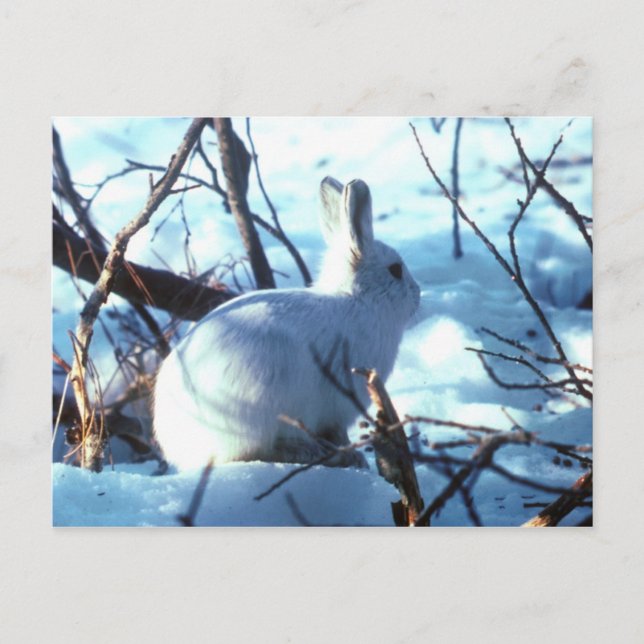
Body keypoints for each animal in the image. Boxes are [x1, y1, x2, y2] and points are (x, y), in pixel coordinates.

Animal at [153, 177, 420, 470]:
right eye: (395, 270)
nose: (417, 295)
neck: (358, 299)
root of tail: (184, 449)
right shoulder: (339, 403)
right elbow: (338, 432)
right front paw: (353, 455)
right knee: (249, 454)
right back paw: (309, 452)